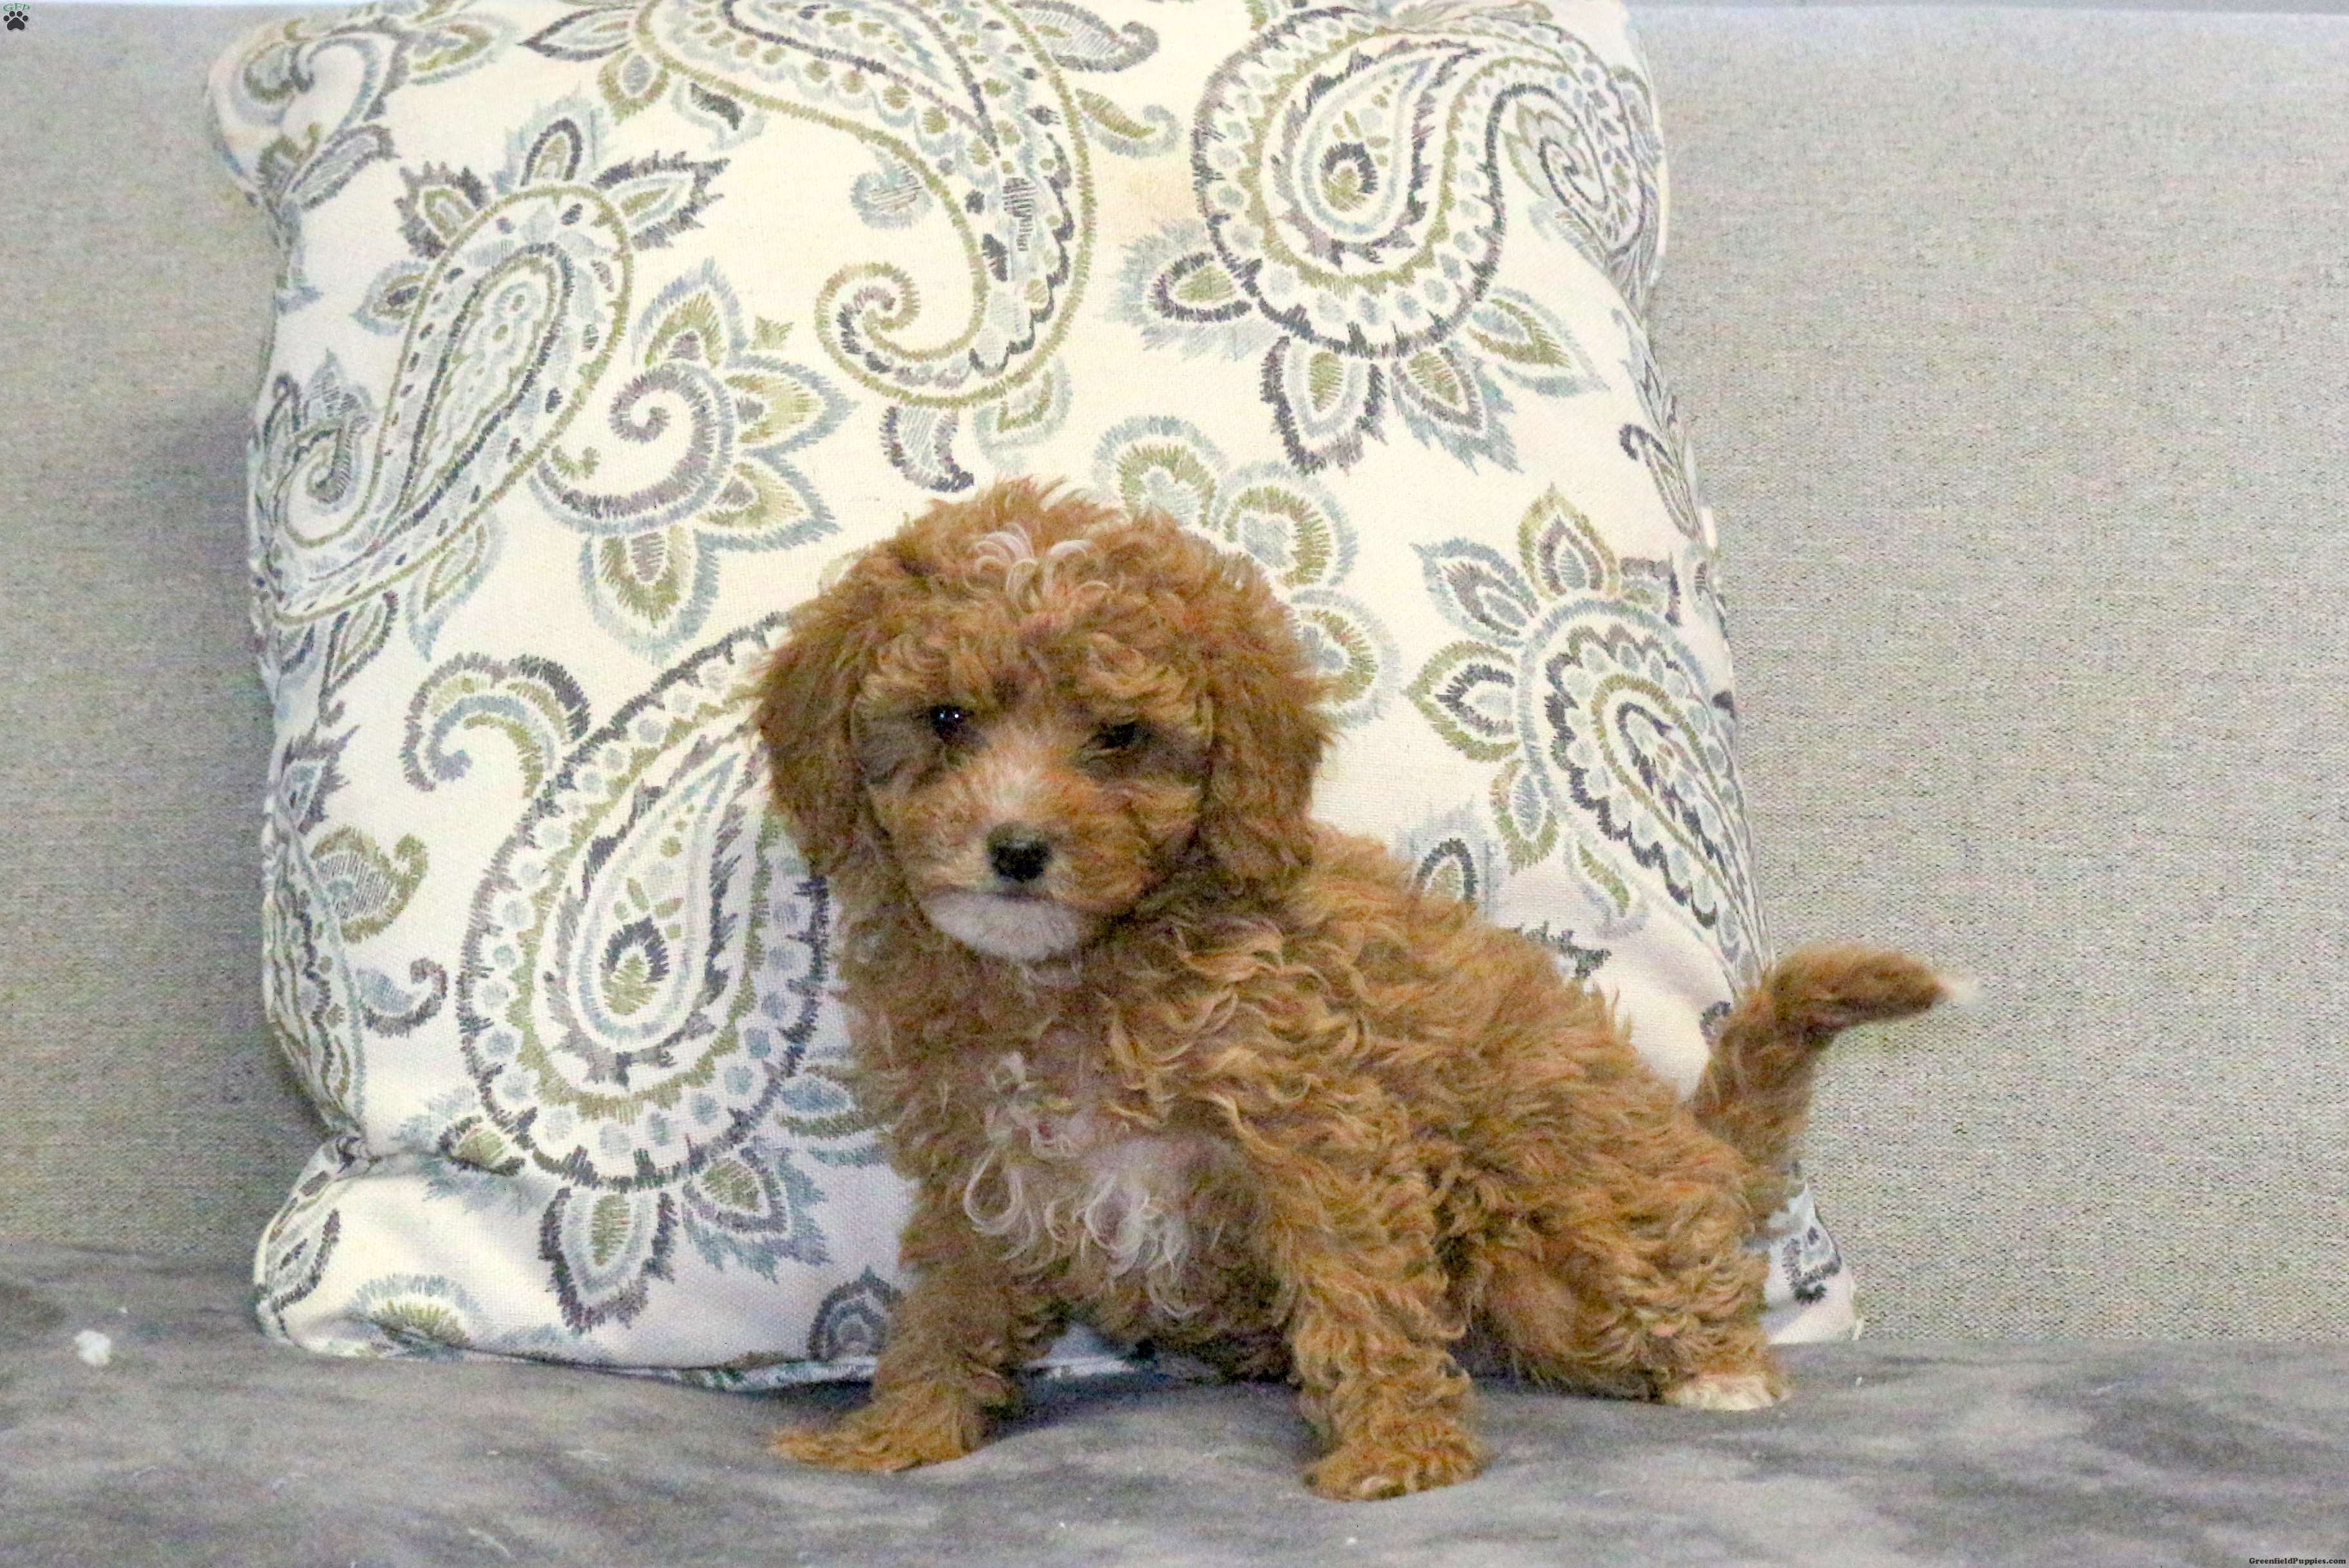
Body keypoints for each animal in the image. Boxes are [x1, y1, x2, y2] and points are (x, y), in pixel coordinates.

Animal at [752, 479, 1949, 1500]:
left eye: (1120, 736)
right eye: (947, 720)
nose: (1015, 848)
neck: (1072, 971)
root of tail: (1696, 1142)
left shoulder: (1314, 1128)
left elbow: (1360, 1294)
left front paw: (1397, 1449)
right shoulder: (983, 1165)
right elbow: (946, 1310)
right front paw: (895, 1433)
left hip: (1577, 1236)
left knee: (1670, 1280)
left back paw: (1722, 1369)